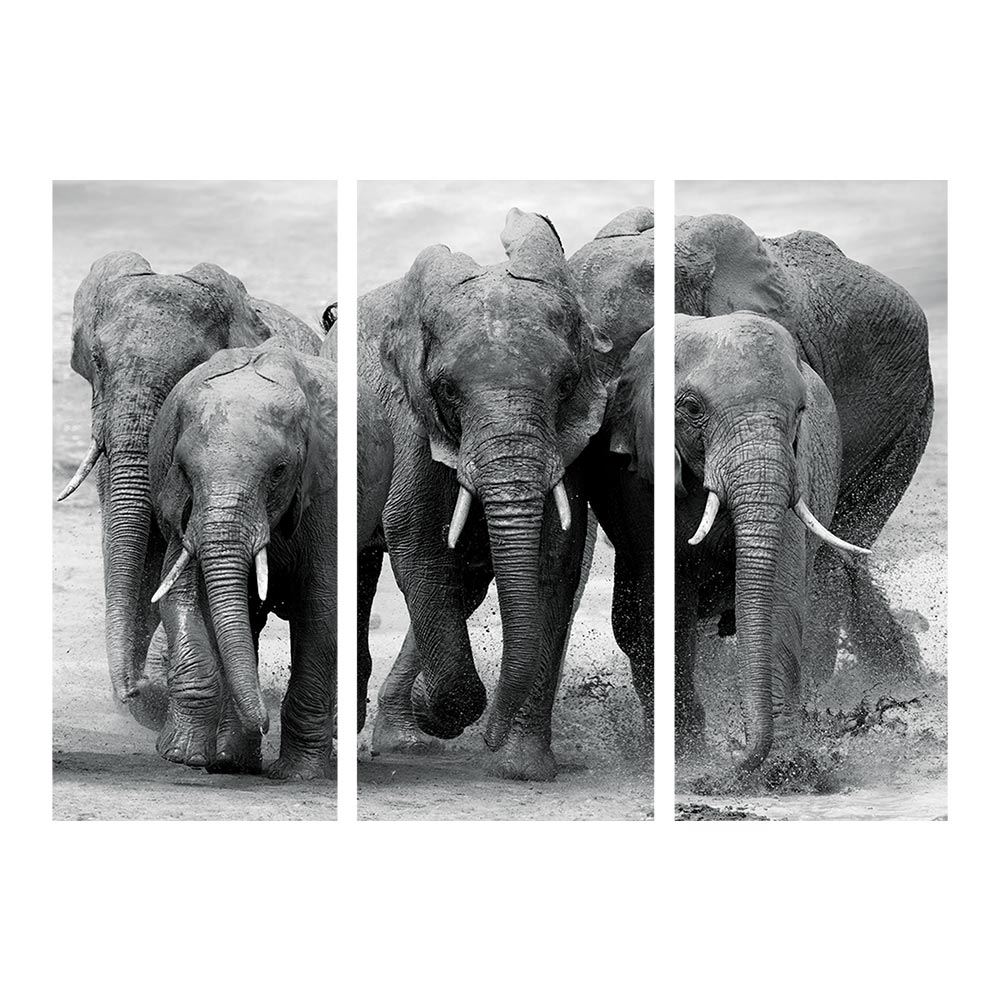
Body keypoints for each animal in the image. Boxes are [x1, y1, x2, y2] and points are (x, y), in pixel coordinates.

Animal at [147, 339, 336, 778]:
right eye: (183, 470)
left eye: (279, 471)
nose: (264, 724)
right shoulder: (181, 506)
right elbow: (179, 593)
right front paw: (182, 756)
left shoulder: (328, 488)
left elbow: (322, 606)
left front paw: (298, 775)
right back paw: (229, 759)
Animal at [357, 208, 615, 780]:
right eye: (447, 391)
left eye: (566, 385)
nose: (491, 742)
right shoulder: (410, 416)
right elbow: (413, 531)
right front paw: (439, 706)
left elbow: (555, 553)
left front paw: (524, 770)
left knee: (466, 583)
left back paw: (407, 739)